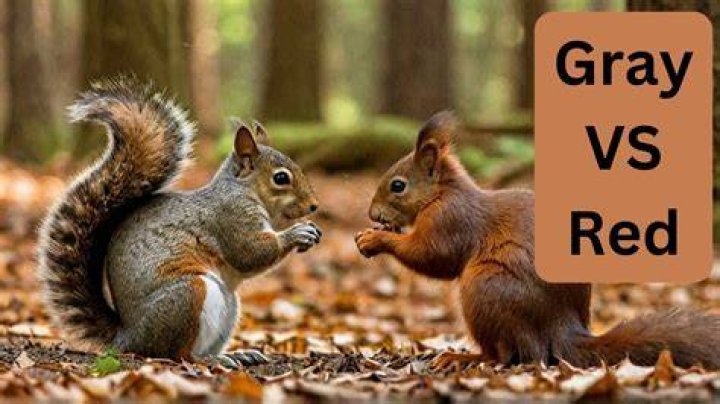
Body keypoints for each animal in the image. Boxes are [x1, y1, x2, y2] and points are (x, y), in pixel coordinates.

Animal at [38, 78, 322, 365]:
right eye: (281, 178)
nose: (314, 206)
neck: (244, 190)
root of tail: (128, 338)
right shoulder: (230, 217)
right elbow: (250, 253)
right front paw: (296, 233)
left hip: (229, 305)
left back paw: (238, 354)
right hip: (188, 295)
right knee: (179, 354)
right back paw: (212, 360)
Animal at [356, 111, 720, 370]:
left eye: (398, 185)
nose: (372, 213)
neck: (441, 193)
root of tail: (562, 328)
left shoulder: (451, 220)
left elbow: (433, 256)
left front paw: (374, 239)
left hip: (486, 288)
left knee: (507, 355)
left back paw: (464, 358)